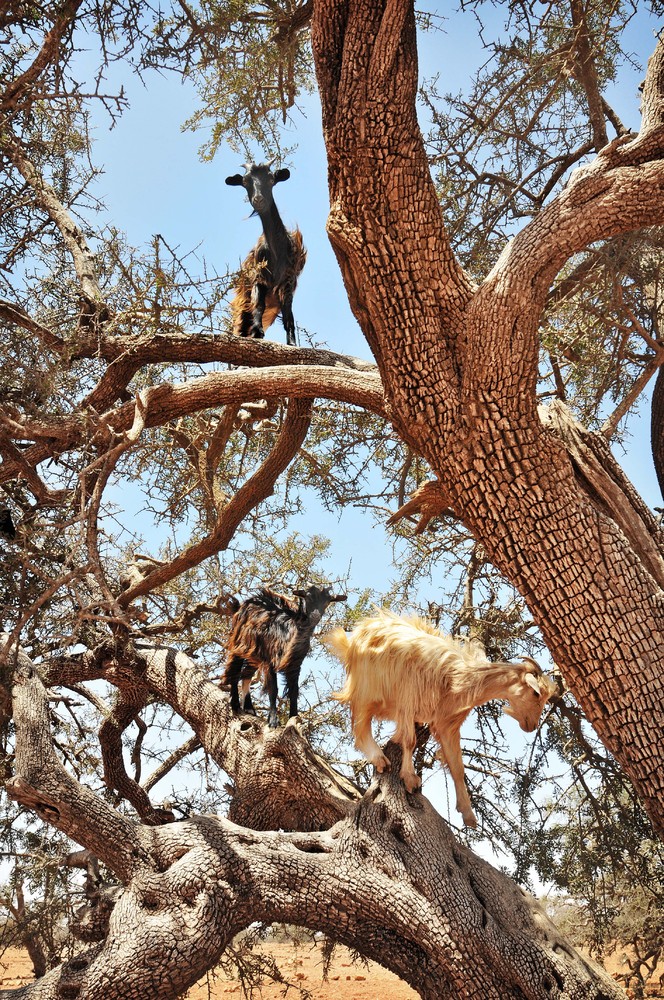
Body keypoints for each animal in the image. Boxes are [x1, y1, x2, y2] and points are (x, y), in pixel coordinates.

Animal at [223, 163, 306, 348]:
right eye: (245, 181)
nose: (258, 200)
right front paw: (257, 332)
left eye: (271, 179)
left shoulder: (288, 279)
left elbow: (289, 314)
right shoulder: (259, 277)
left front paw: (292, 342)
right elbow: (259, 305)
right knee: (241, 326)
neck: (277, 250)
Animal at [223, 584, 348, 728]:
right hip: (240, 644)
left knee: (246, 675)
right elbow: (273, 689)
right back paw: (236, 705)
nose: (315, 616)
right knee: (234, 671)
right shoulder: (270, 661)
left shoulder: (295, 665)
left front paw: (294, 718)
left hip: (254, 654)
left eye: (327, 601)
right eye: (308, 597)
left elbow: (294, 692)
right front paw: (273, 721)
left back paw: (249, 708)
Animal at [324, 608, 556, 828]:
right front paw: (410, 779)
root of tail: (356, 636)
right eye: (536, 694)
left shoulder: (447, 723)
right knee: (360, 728)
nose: (531, 726)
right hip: (366, 689)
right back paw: (379, 758)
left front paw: (468, 814)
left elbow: (457, 766)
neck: (458, 675)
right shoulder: (408, 701)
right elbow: (410, 741)